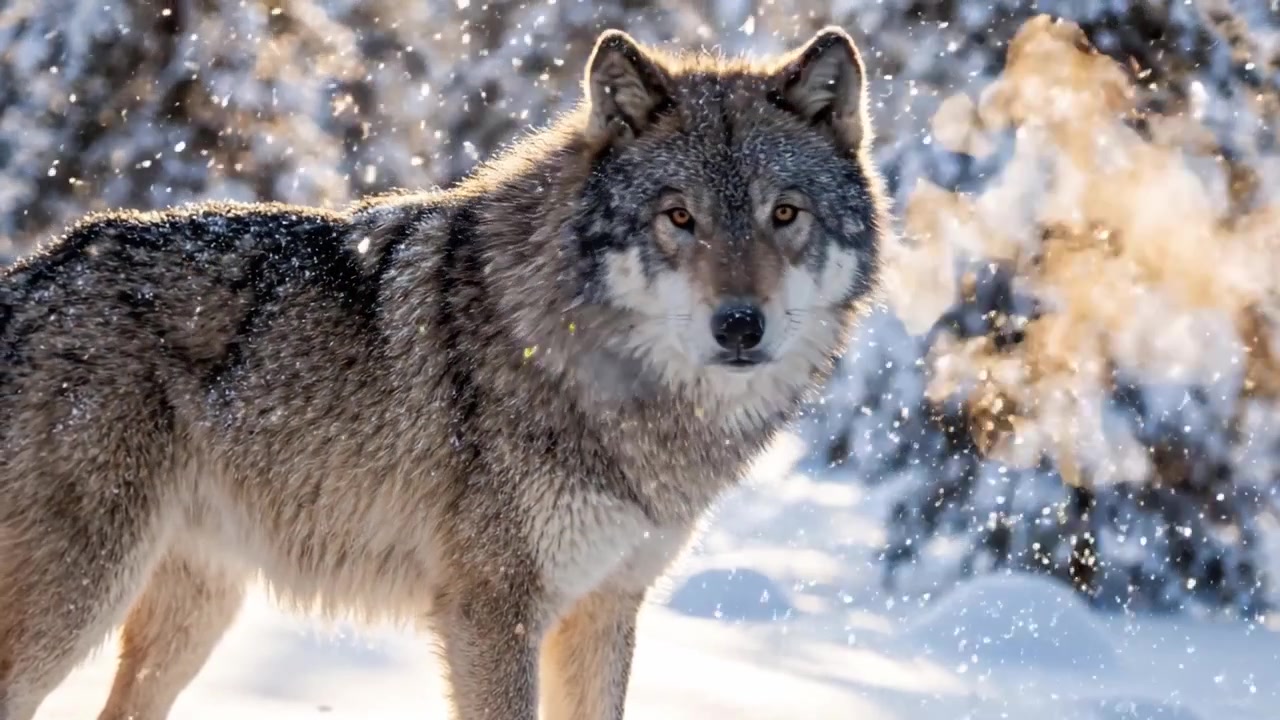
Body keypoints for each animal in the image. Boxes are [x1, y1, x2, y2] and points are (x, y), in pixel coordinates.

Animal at [0, 25, 887, 720]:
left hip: (193, 610)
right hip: (83, 600)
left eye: (784, 214)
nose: (739, 326)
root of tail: (30, 277)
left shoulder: (605, 609)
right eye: (678, 217)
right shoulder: (491, 612)